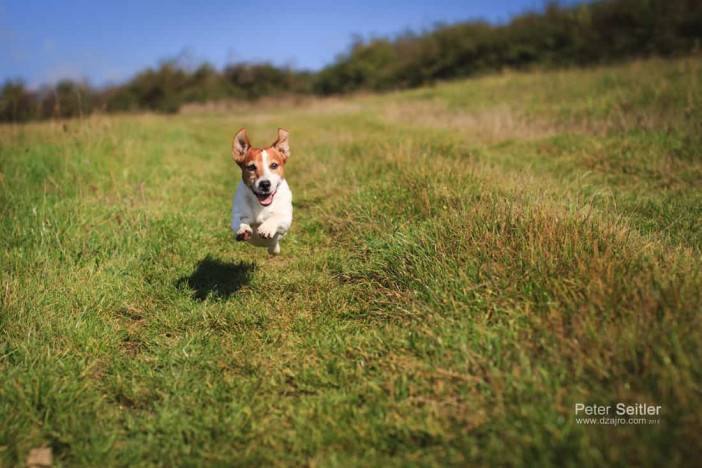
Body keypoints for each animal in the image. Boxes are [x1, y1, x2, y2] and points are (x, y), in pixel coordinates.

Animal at [232, 126, 292, 254]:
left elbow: (277, 216)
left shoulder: (286, 218)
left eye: (274, 165)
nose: (265, 184)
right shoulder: (236, 216)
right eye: (251, 167)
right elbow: (240, 220)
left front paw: (266, 227)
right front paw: (243, 229)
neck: (260, 205)